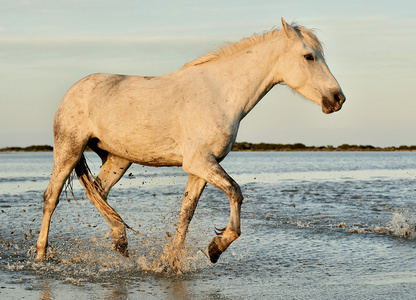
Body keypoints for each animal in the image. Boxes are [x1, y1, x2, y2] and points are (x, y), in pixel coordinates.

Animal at [35, 18, 344, 264]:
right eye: (309, 56)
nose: (338, 98)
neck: (221, 93)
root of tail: (75, 89)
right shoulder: (200, 162)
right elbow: (235, 192)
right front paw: (217, 247)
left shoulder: (201, 168)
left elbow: (187, 214)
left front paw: (171, 262)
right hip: (69, 149)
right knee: (52, 198)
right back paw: (41, 254)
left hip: (118, 159)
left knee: (98, 192)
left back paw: (120, 239)